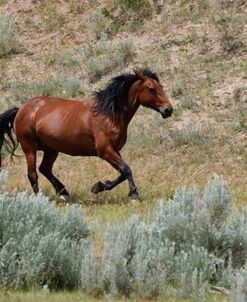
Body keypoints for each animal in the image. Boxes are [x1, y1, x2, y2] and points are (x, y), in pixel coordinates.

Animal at [0, 68, 173, 201]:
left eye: (161, 86)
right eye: (151, 88)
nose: (168, 110)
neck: (109, 115)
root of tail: (21, 109)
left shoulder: (114, 150)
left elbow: (123, 173)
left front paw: (98, 186)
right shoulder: (104, 151)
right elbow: (126, 169)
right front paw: (134, 194)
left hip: (51, 149)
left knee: (45, 169)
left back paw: (64, 193)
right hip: (30, 148)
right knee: (33, 174)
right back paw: (40, 200)